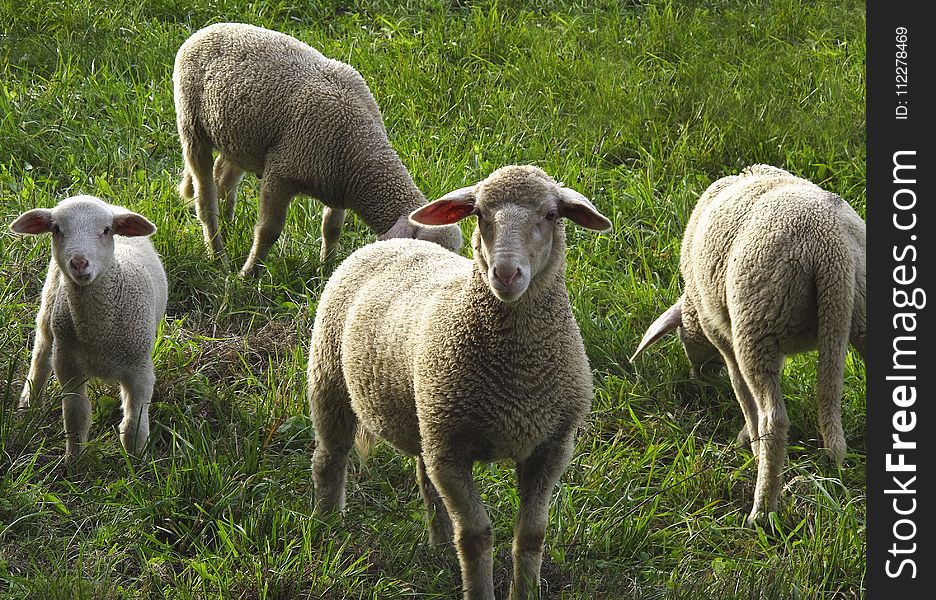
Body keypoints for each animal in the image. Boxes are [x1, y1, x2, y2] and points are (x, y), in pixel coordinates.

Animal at [11, 196, 169, 460]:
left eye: (106, 230)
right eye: (56, 229)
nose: (79, 262)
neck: (99, 332)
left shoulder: (140, 371)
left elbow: (133, 427)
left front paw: (137, 464)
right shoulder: (69, 365)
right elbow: (76, 417)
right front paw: (74, 461)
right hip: (49, 308)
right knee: (41, 353)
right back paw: (29, 405)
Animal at [172, 22, 464, 276]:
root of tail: (210, 27)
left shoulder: (338, 185)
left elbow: (331, 228)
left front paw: (327, 269)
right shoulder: (280, 174)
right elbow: (269, 230)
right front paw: (249, 274)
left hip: (239, 138)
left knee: (224, 176)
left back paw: (229, 227)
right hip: (192, 126)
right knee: (205, 195)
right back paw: (218, 253)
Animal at [308, 164, 616, 600]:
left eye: (550, 214)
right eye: (480, 213)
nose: (505, 273)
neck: (520, 377)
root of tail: (394, 242)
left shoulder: (552, 446)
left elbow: (531, 535)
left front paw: (524, 591)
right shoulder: (451, 452)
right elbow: (475, 535)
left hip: (423, 416)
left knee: (424, 479)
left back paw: (438, 547)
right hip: (330, 377)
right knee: (330, 457)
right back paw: (329, 526)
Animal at [632, 164, 868, 524]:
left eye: (684, 338)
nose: (698, 380)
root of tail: (831, 248)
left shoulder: (724, 335)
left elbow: (741, 392)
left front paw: (750, 442)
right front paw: (747, 437)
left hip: (756, 321)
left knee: (775, 418)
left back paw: (762, 509)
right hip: (858, 312)